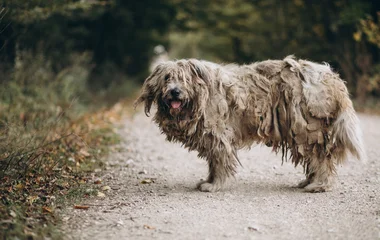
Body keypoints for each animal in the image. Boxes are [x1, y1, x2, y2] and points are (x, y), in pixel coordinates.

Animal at [134, 56, 366, 193]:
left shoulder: (218, 135)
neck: (202, 95)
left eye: (184, 79)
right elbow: (214, 162)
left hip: (310, 128)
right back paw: (308, 182)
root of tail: (332, 77)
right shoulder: (212, 138)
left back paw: (318, 185)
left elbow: (220, 161)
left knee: (321, 159)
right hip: (303, 131)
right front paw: (209, 180)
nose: (174, 92)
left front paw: (215, 185)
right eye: (167, 78)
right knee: (314, 159)